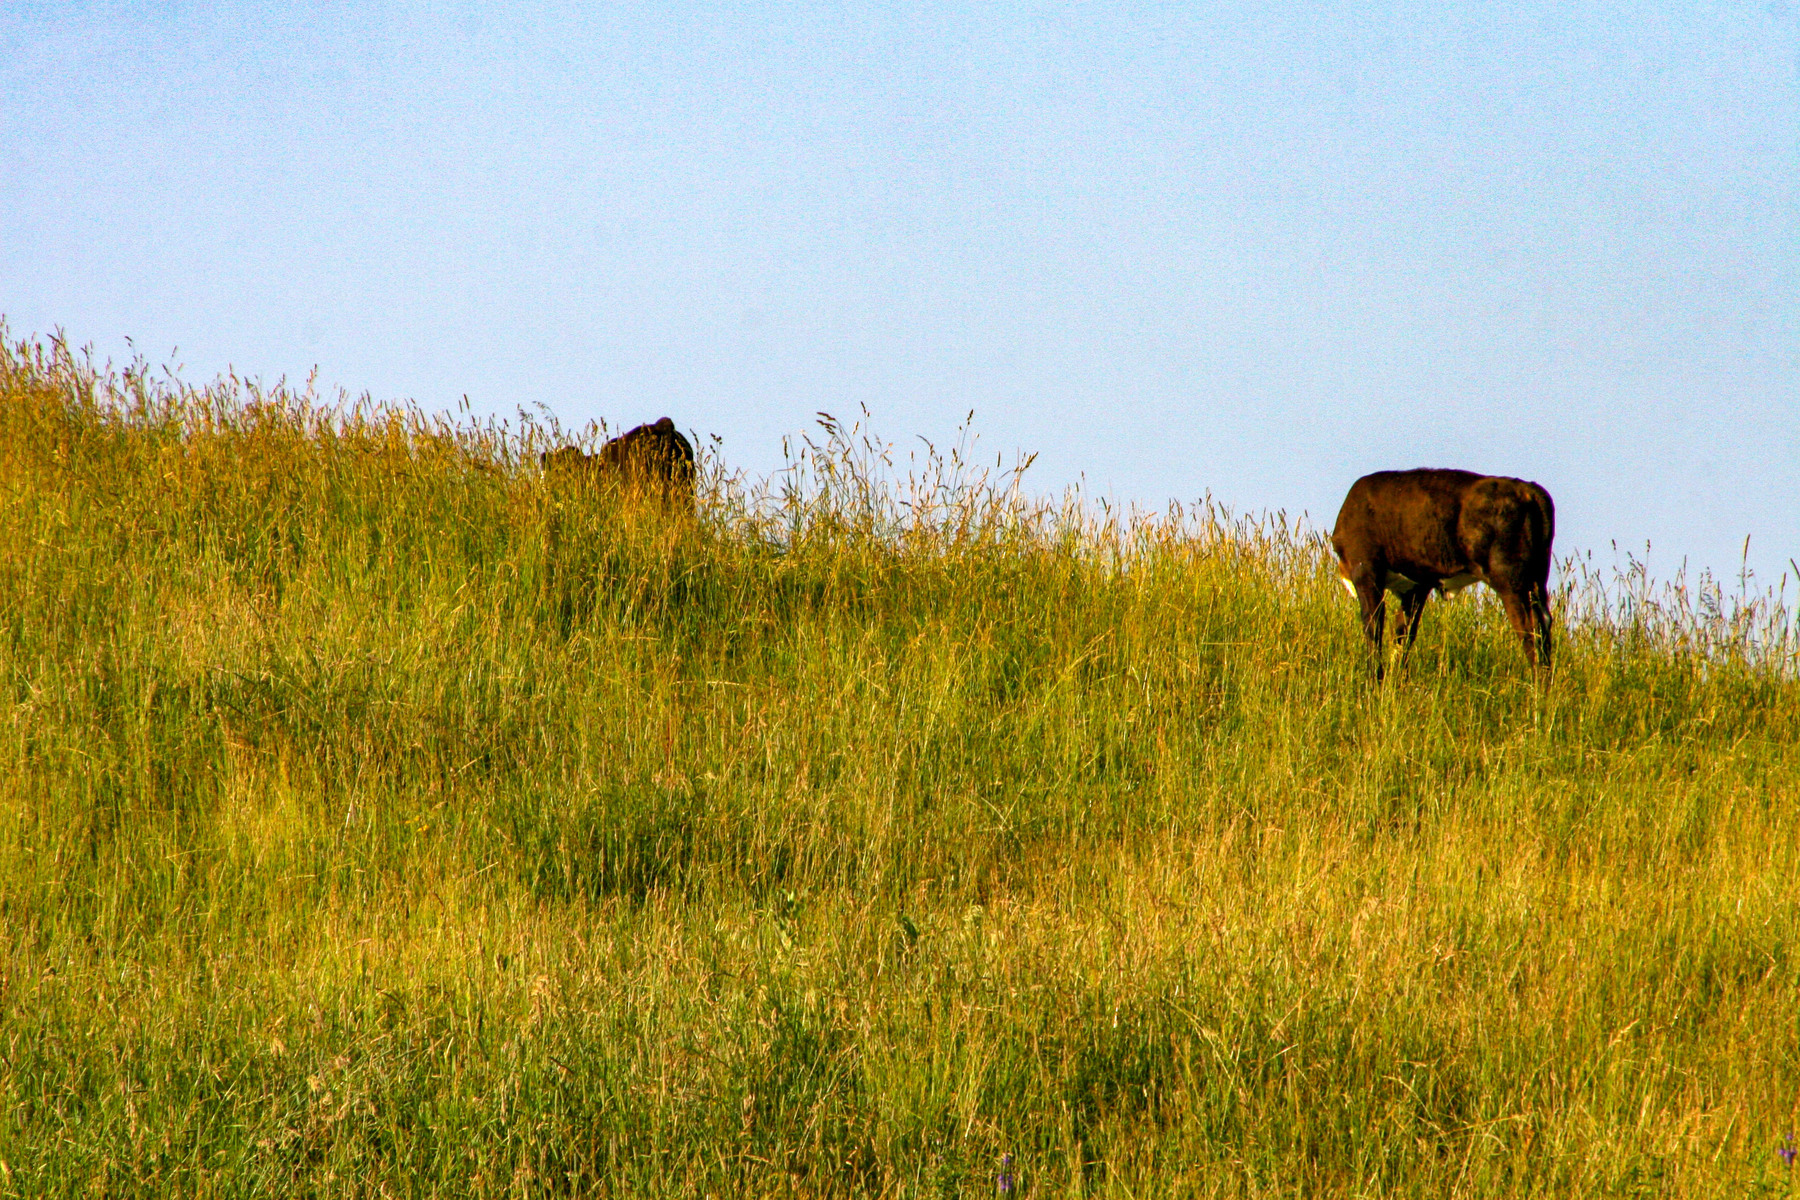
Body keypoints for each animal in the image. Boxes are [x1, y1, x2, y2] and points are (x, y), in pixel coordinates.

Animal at [1332, 467, 1555, 680]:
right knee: (1543, 624)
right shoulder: (1416, 587)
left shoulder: (1366, 573)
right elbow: (1404, 633)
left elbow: (1373, 627)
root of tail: (1528, 489)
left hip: (1511, 583)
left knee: (1528, 628)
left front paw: (1375, 681)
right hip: (1537, 581)